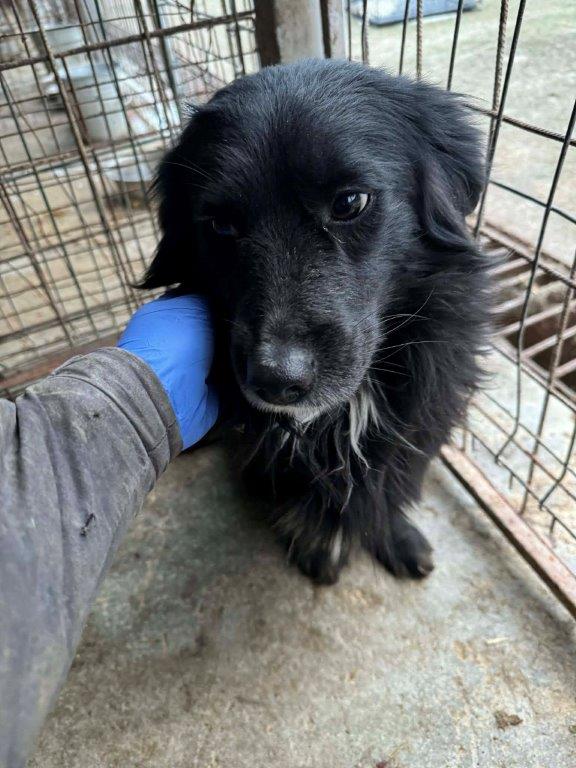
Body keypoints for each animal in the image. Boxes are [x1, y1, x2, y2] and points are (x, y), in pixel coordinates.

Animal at [141, 59, 490, 585]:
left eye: (349, 203)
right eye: (220, 224)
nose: (276, 382)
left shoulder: (421, 412)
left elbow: (389, 478)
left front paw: (392, 535)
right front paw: (318, 538)